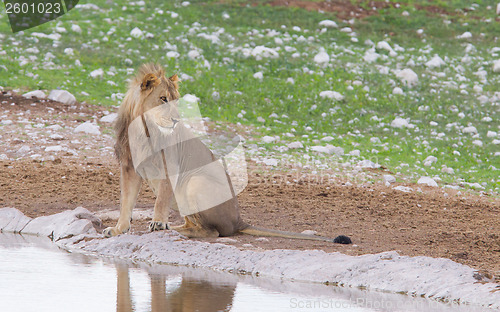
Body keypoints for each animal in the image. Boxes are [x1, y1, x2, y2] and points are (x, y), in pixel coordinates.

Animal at [101, 62, 352, 244]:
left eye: (176, 101)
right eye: (162, 99)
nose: (176, 120)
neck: (144, 130)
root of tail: (239, 220)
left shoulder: (169, 166)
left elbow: (160, 201)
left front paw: (159, 224)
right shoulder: (128, 167)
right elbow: (126, 202)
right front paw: (118, 229)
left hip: (194, 181)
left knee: (211, 232)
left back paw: (171, 230)